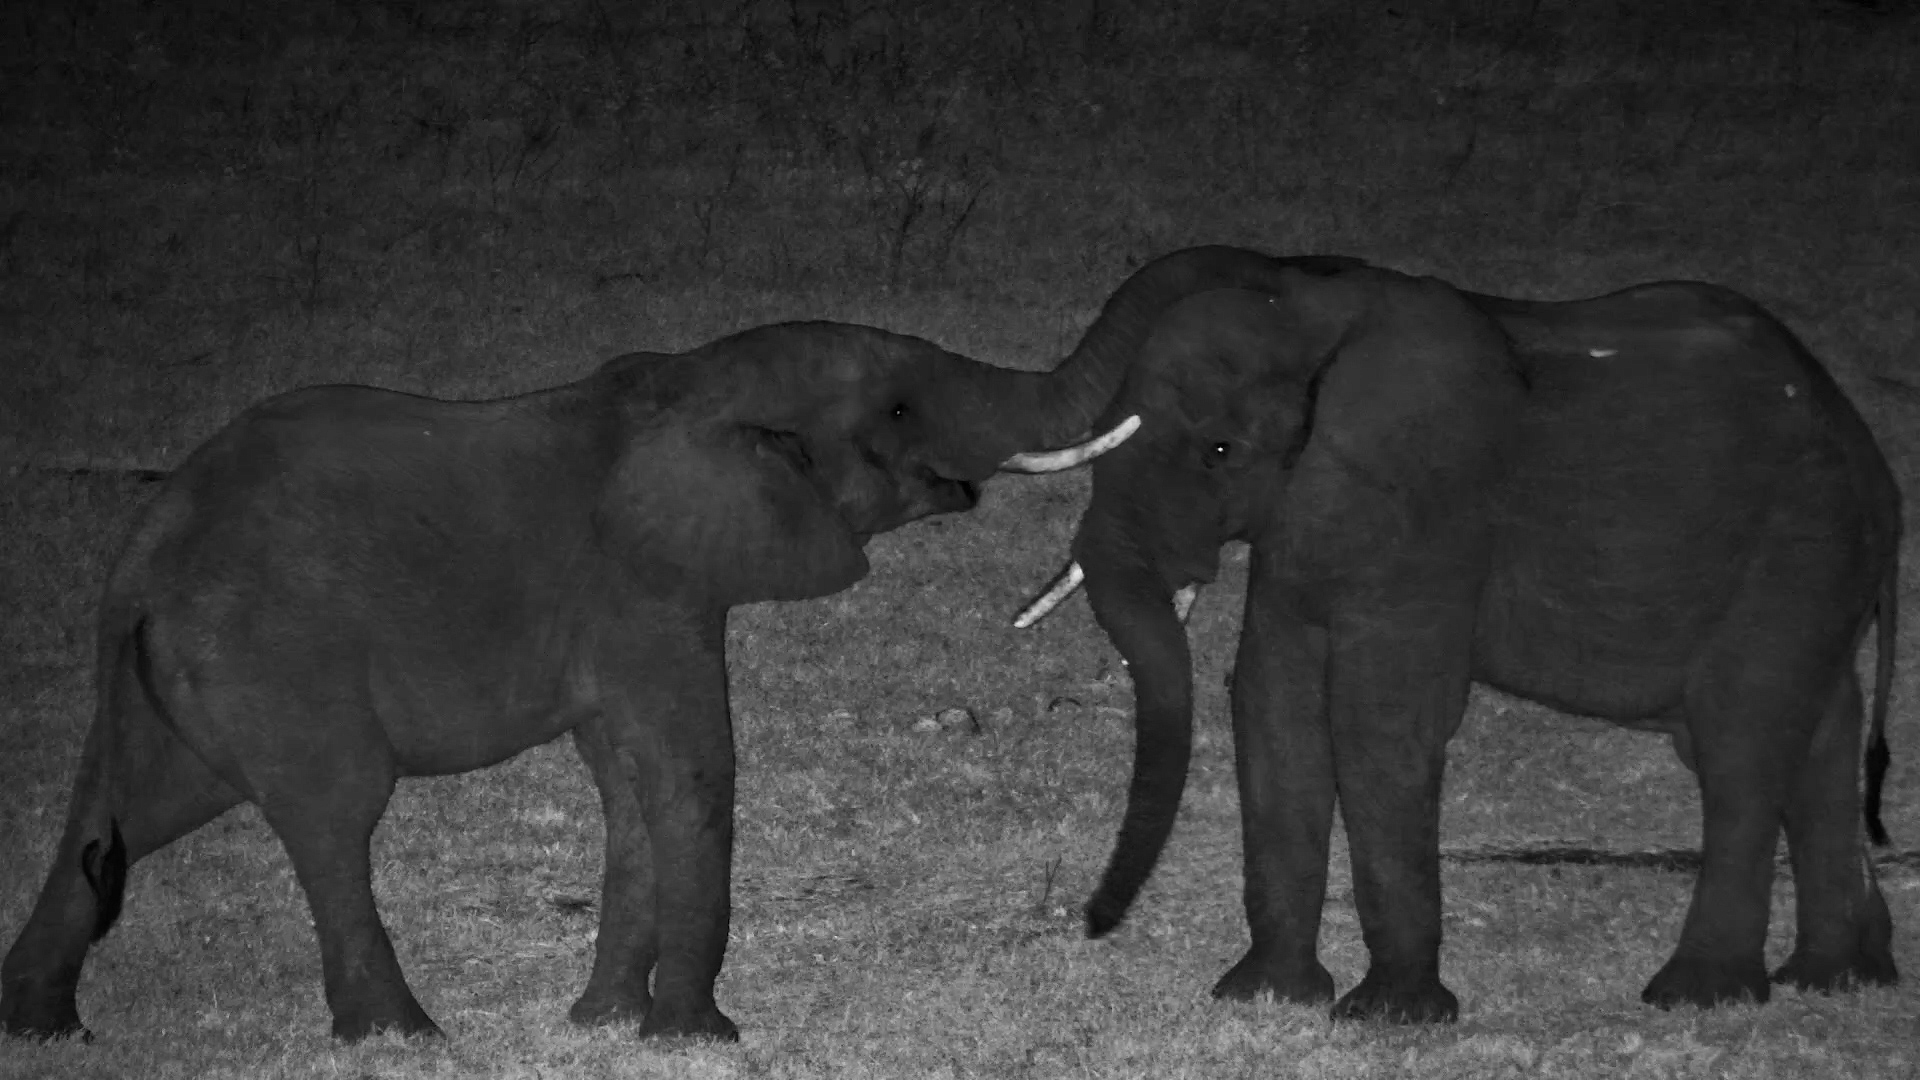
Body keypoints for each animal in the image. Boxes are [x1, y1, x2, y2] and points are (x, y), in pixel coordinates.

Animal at [0, 318, 1151, 1044]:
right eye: (902, 410)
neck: (678, 385)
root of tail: (142, 564)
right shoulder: (647, 591)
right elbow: (688, 776)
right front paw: (697, 1038)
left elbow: (629, 786)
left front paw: (602, 1023)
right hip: (273, 660)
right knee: (331, 822)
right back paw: (401, 1037)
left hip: (173, 686)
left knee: (125, 814)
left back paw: (44, 1028)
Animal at [1015, 255, 1902, 1022]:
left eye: (1220, 450)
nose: (1091, 921)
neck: (1310, 319)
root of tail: (1866, 445)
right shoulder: (1306, 523)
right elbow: (1270, 703)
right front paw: (1265, 997)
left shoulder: (1425, 507)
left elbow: (1379, 722)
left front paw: (1389, 1017)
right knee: (1822, 734)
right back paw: (1838, 979)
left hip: (1798, 545)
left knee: (1741, 743)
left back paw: (1697, 996)